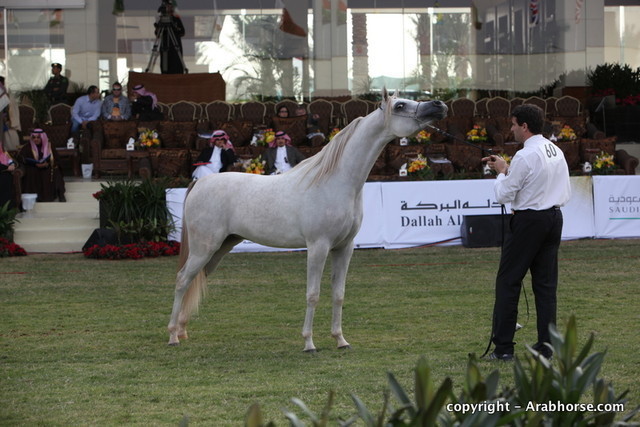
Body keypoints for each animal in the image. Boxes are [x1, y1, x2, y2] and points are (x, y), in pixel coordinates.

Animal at [168, 89, 448, 351]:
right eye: (399, 105)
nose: (439, 105)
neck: (334, 182)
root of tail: (200, 182)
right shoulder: (318, 247)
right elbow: (313, 294)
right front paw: (309, 343)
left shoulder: (344, 248)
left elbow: (338, 294)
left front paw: (340, 340)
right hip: (205, 248)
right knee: (181, 280)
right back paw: (172, 336)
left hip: (220, 248)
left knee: (195, 279)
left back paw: (182, 330)